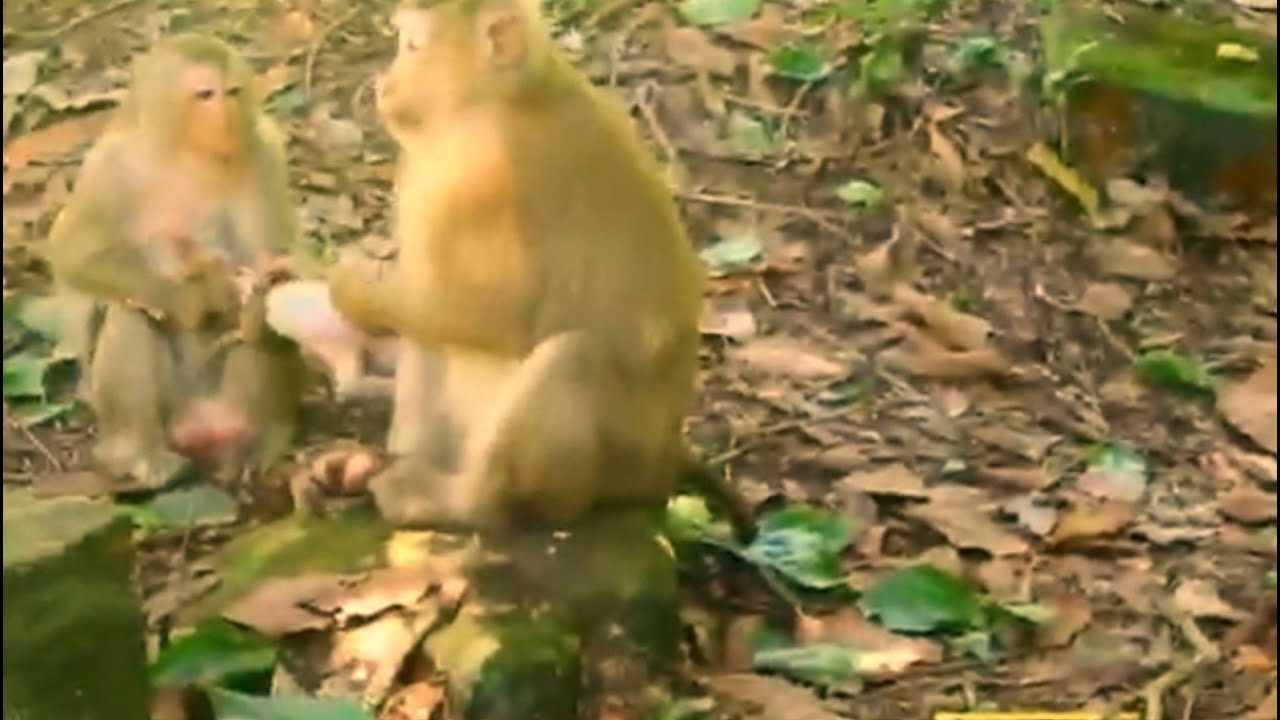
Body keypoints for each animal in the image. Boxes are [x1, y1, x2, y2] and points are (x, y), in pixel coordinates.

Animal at [45, 33, 307, 489]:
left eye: (232, 92)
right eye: (205, 95)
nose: (227, 118)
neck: (185, 152)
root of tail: (201, 427)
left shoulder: (264, 152)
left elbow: (270, 257)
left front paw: (261, 293)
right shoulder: (110, 166)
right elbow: (73, 250)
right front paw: (195, 295)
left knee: (260, 335)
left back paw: (259, 440)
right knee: (132, 313)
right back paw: (139, 454)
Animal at [324, 0, 756, 542]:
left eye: (413, 47)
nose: (386, 86)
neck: (507, 95)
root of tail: (661, 465)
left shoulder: (480, 182)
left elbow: (488, 314)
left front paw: (350, 286)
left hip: (619, 460)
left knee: (569, 358)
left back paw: (471, 507)